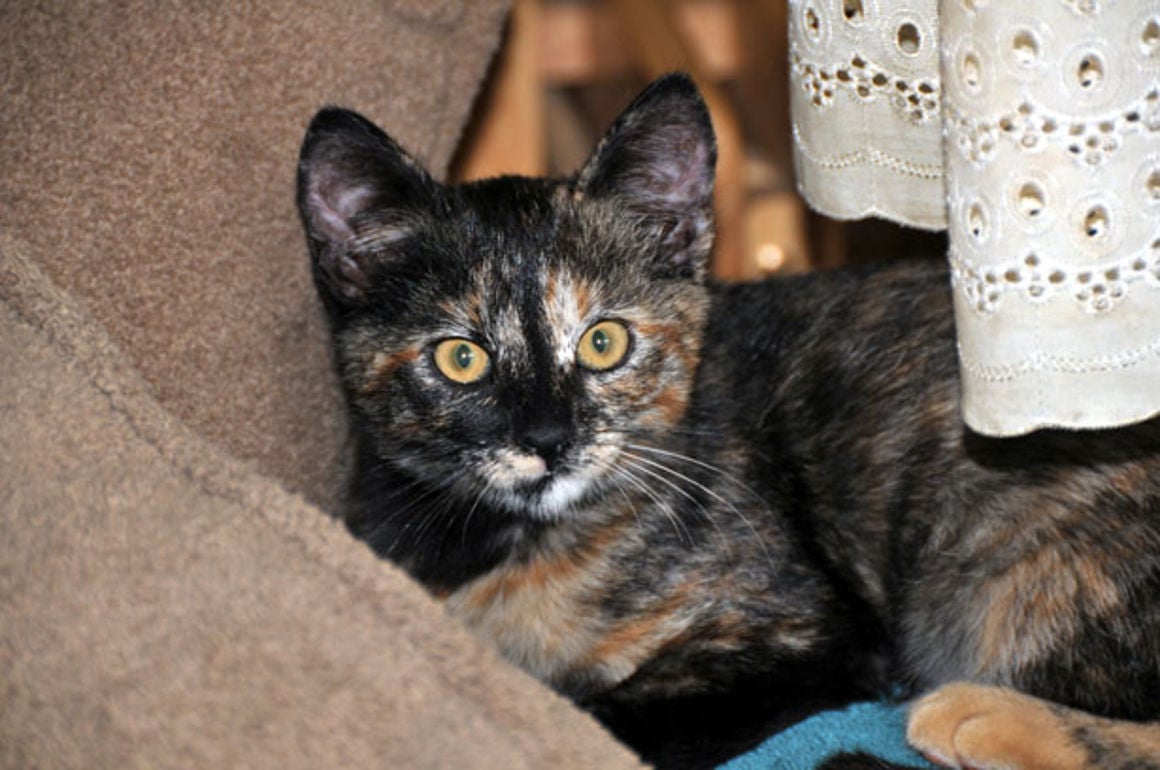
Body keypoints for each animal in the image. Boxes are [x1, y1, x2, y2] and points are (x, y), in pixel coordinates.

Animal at [296, 73, 1160, 770]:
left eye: (604, 343)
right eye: (461, 359)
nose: (548, 441)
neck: (517, 542)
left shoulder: (812, 635)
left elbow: (598, 715)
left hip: (988, 582)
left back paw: (969, 718)